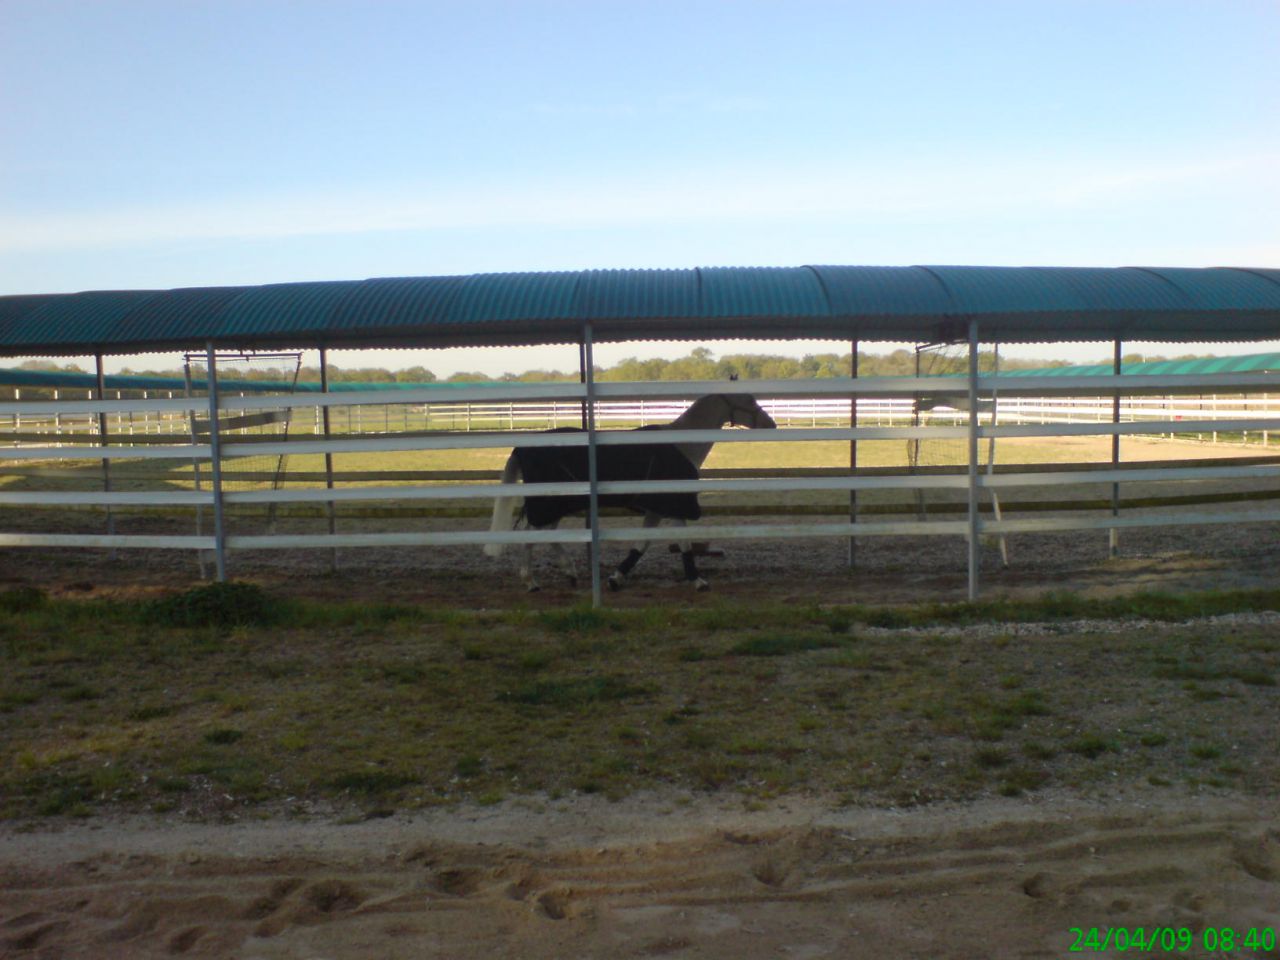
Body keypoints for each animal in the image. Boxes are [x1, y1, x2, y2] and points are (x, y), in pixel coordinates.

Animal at [483, 393, 776, 591]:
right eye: (750, 402)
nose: (771, 424)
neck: (681, 444)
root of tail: (523, 448)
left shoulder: (661, 509)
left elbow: (649, 544)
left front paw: (617, 578)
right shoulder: (667, 506)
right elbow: (669, 543)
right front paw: (698, 581)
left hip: (559, 506)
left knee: (548, 536)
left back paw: (570, 573)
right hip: (549, 505)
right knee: (532, 537)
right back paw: (532, 581)